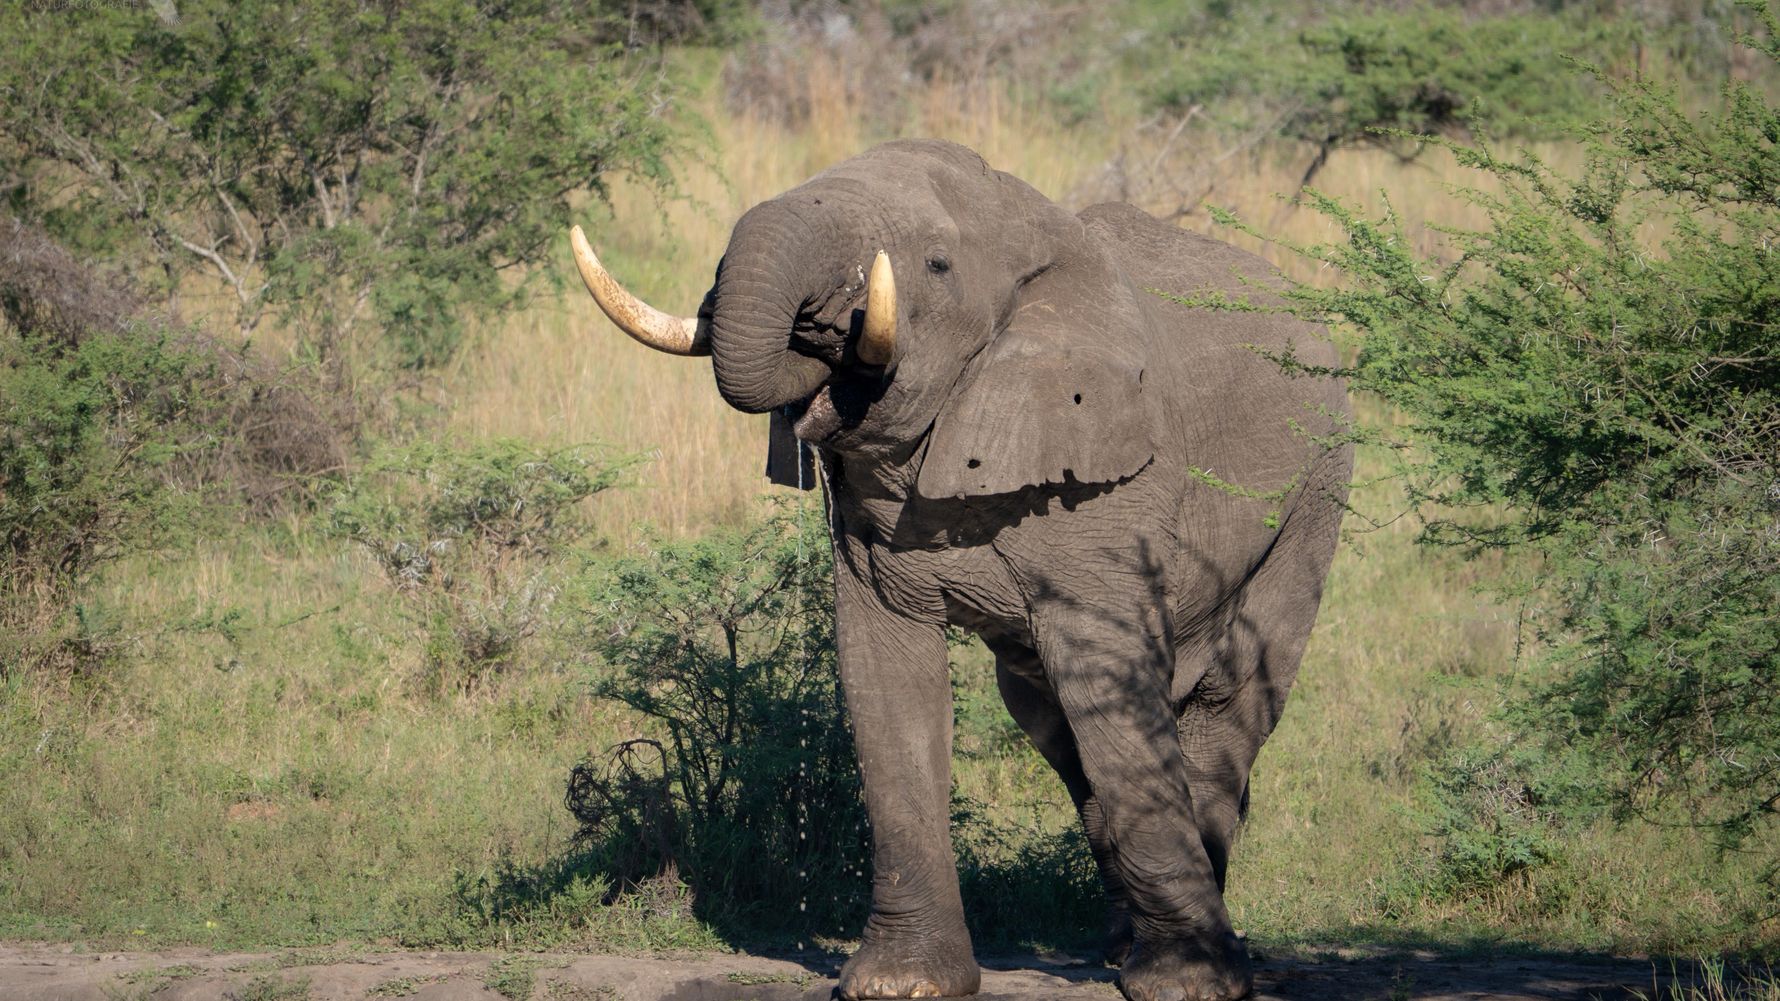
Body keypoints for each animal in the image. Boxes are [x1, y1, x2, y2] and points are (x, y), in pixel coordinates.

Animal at [569, 139, 1351, 1001]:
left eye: (935, 264)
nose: (822, 357)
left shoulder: (1106, 475)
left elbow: (1103, 673)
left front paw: (1190, 984)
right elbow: (885, 680)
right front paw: (900, 982)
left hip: (1316, 487)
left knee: (1225, 698)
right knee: (1050, 716)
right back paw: (1119, 946)